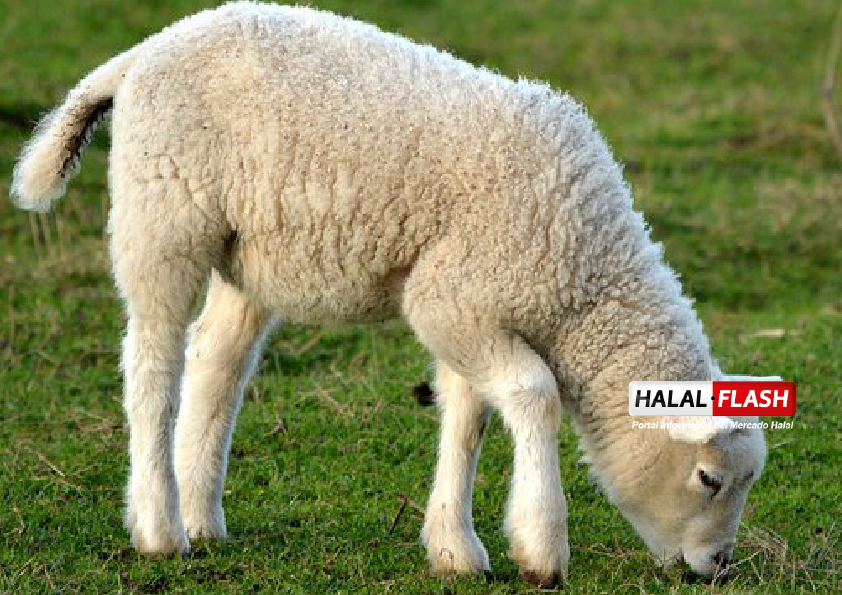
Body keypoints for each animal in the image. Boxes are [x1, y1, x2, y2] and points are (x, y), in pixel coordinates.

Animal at [11, 1, 771, 586]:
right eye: (708, 478)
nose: (719, 566)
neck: (583, 284)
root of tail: (142, 53)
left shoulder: (466, 310)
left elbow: (467, 418)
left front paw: (454, 547)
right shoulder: (453, 295)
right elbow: (534, 394)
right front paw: (541, 548)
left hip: (247, 253)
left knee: (216, 363)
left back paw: (202, 515)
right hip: (163, 216)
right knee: (152, 364)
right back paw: (160, 529)